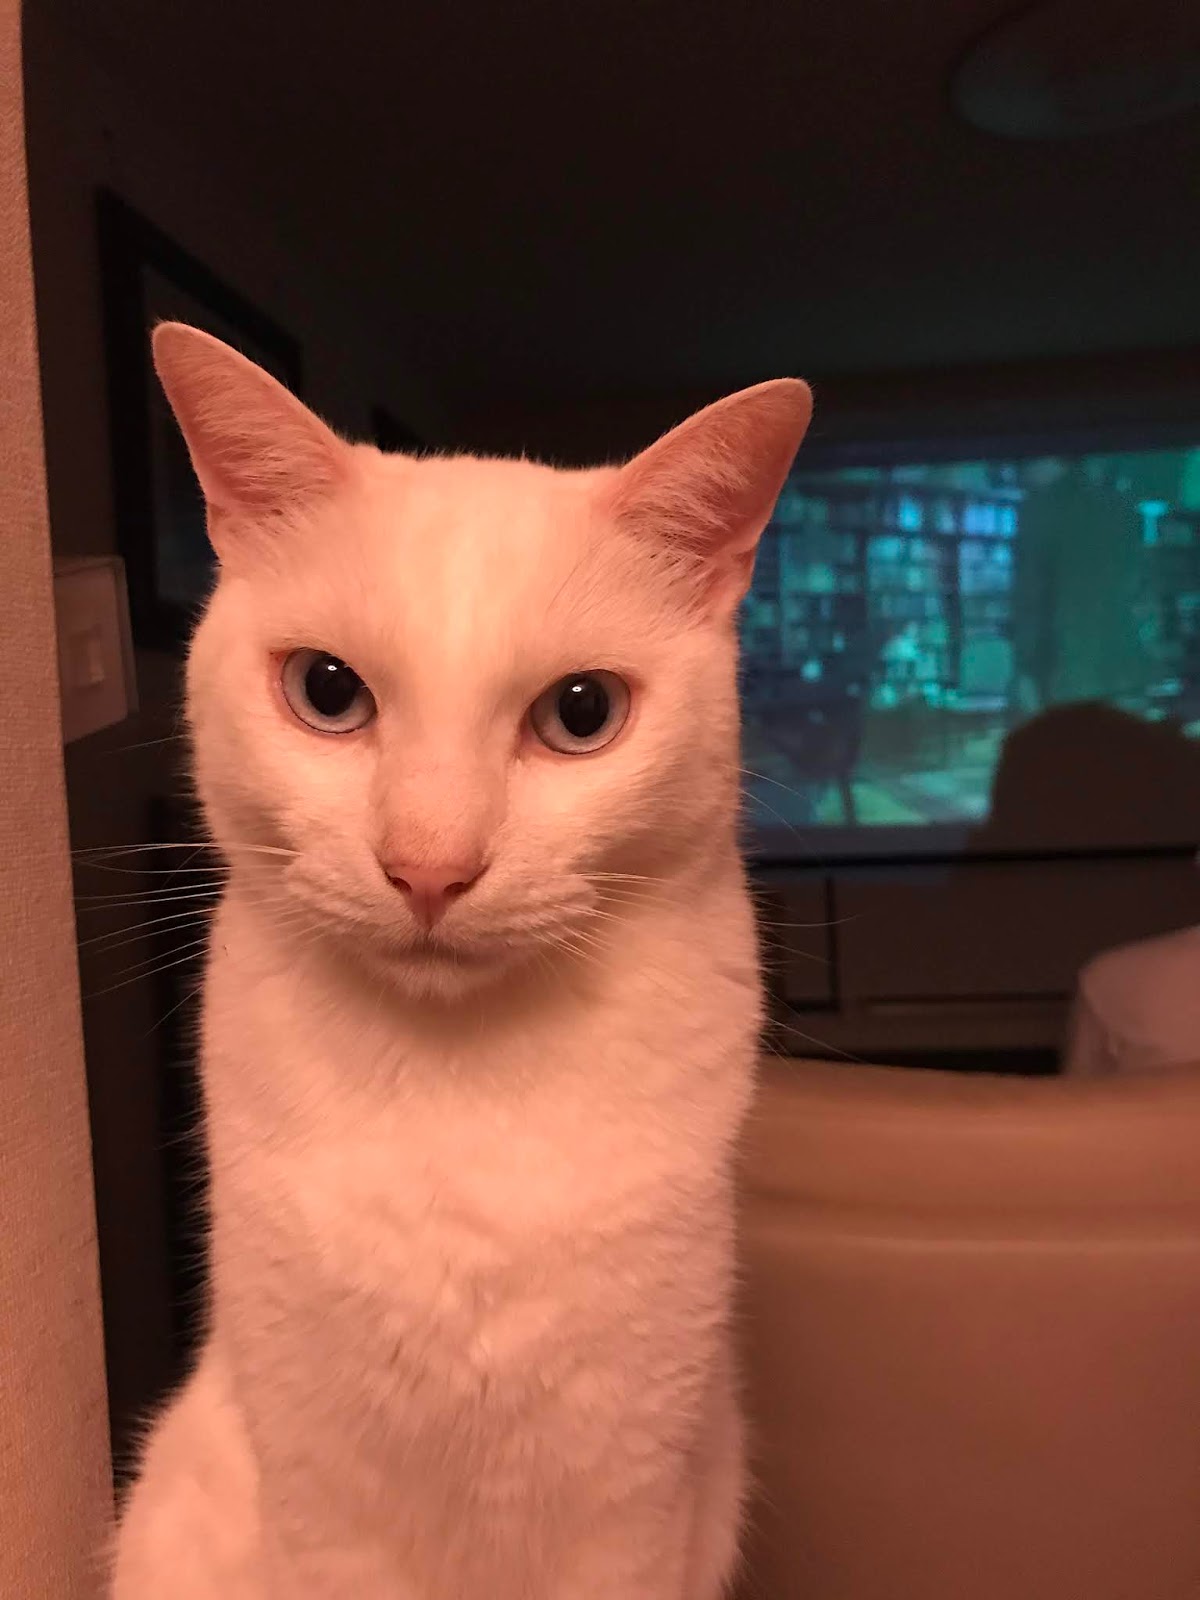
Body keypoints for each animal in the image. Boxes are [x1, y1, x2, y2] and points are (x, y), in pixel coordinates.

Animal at [108, 322, 812, 1599]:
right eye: (327, 689)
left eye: (582, 713)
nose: (429, 868)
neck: (454, 1094)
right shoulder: (324, 1512)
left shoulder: (633, 1509)